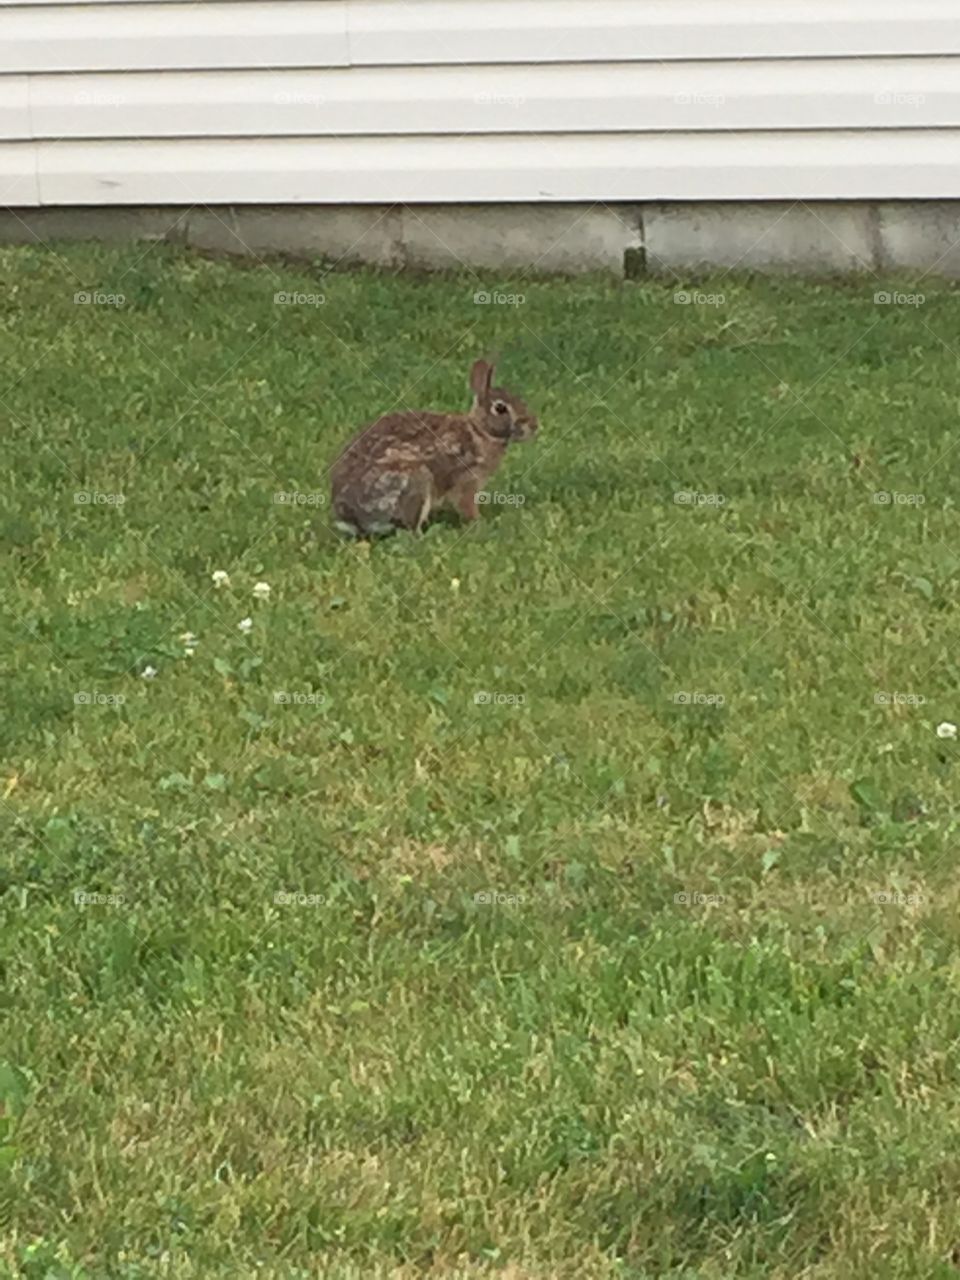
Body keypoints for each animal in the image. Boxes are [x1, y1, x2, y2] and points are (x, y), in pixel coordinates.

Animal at [330, 358, 538, 536]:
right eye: (500, 408)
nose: (534, 425)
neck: (480, 431)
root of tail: (350, 517)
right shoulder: (466, 481)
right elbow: (467, 506)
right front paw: (480, 523)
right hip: (415, 480)